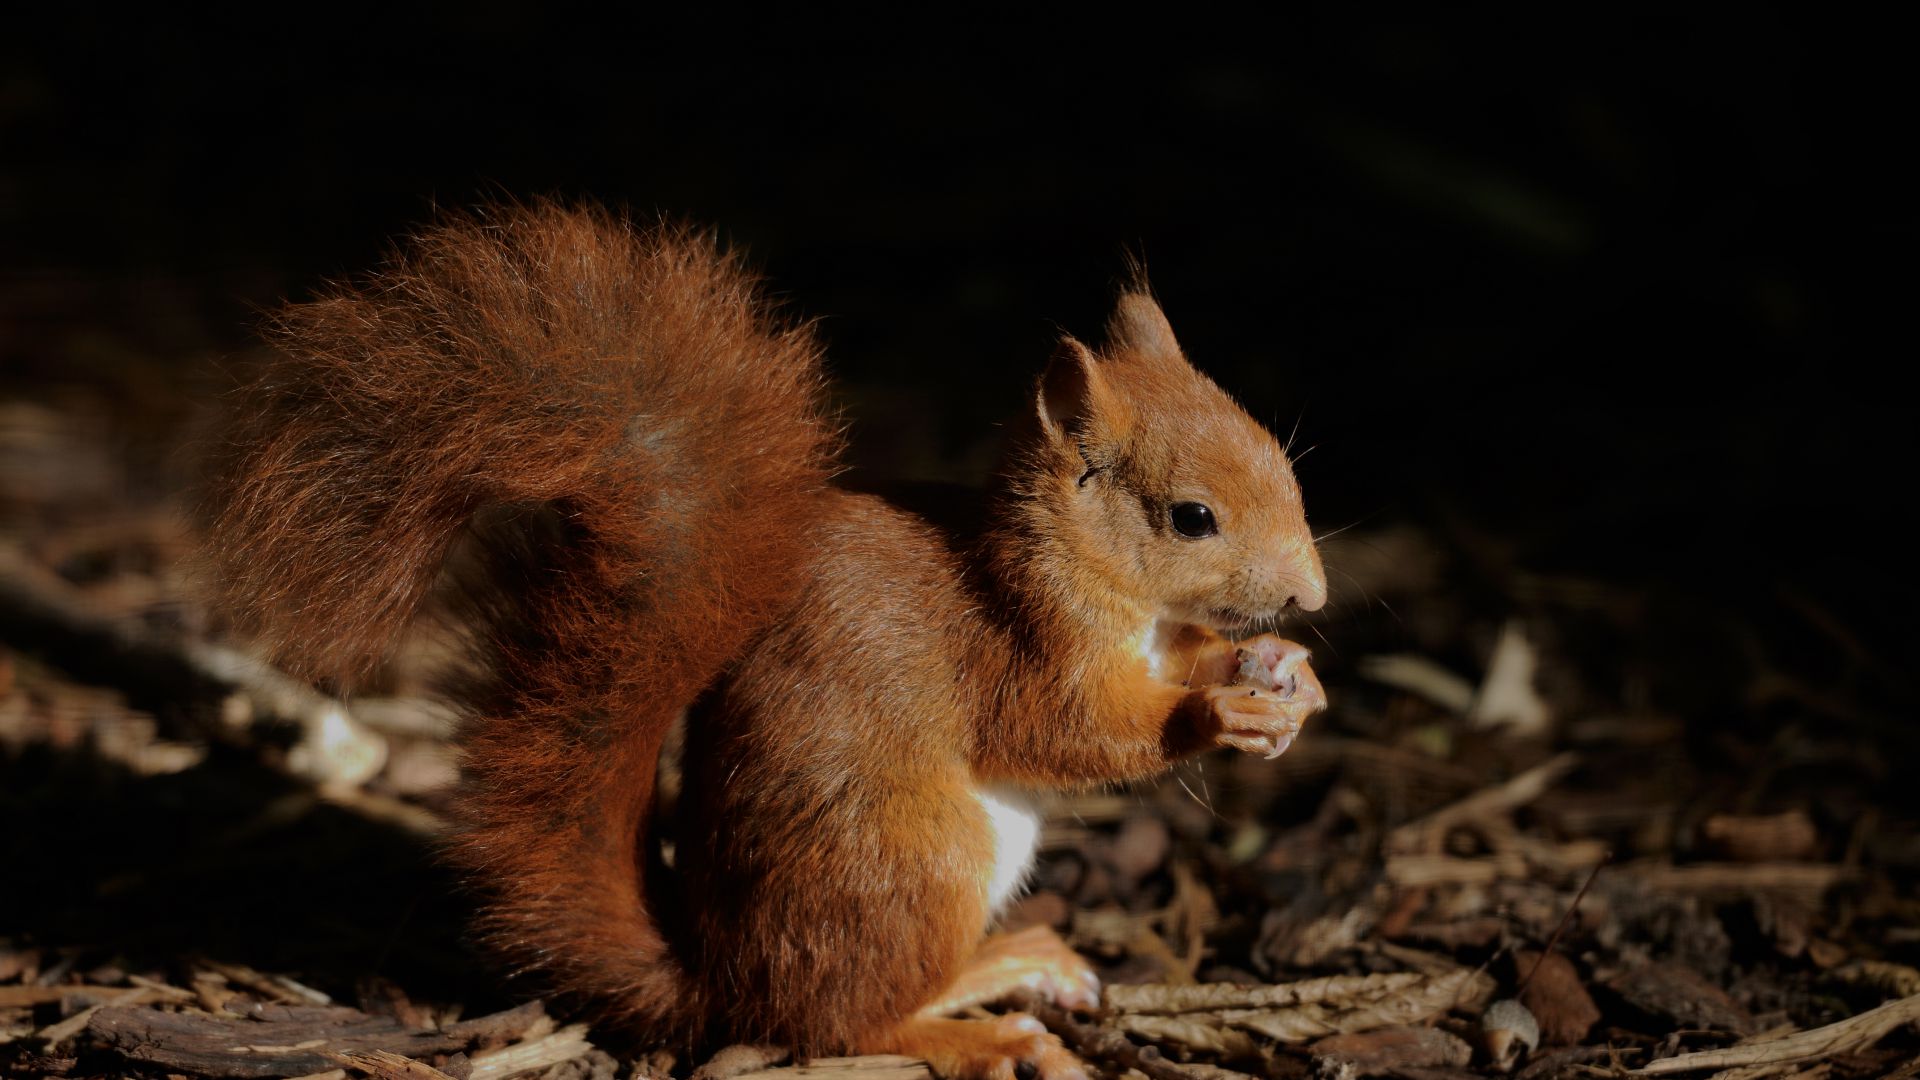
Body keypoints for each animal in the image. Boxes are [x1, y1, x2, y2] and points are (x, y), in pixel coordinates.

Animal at [202, 203, 1328, 1076]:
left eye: (1280, 458)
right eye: (1191, 518)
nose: (1312, 596)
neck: (1083, 574)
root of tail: (722, 981)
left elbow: (1179, 661)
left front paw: (1289, 679)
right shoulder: (1018, 648)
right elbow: (1074, 734)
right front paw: (1218, 709)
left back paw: (1011, 965)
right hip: (917, 861)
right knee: (843, 1027)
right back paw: (987, 1032)